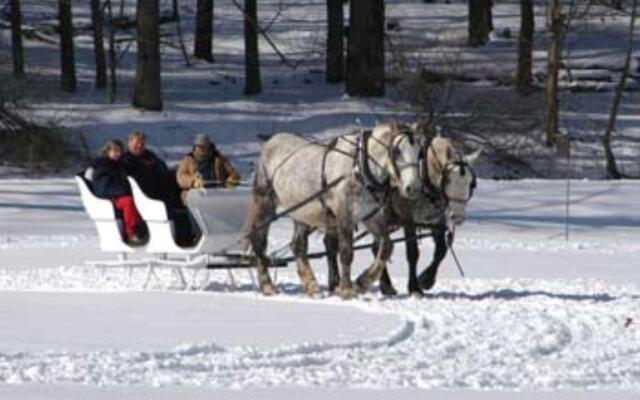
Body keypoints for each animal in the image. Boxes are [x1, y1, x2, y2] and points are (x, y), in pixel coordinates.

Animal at [242, 122, 422, 300]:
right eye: (397, 151)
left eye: (420, 152)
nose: (413, 188)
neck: (358, 168)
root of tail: (270, 141)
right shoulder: (345, 216)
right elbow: (346, 253)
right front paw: (347, 290)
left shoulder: (371, 216)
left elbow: (386, 246)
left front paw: (363, 282)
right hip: (265, 202)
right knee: (259, 241)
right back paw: (267, 286)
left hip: (301, 211)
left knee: (298, 245)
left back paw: (312, 287)